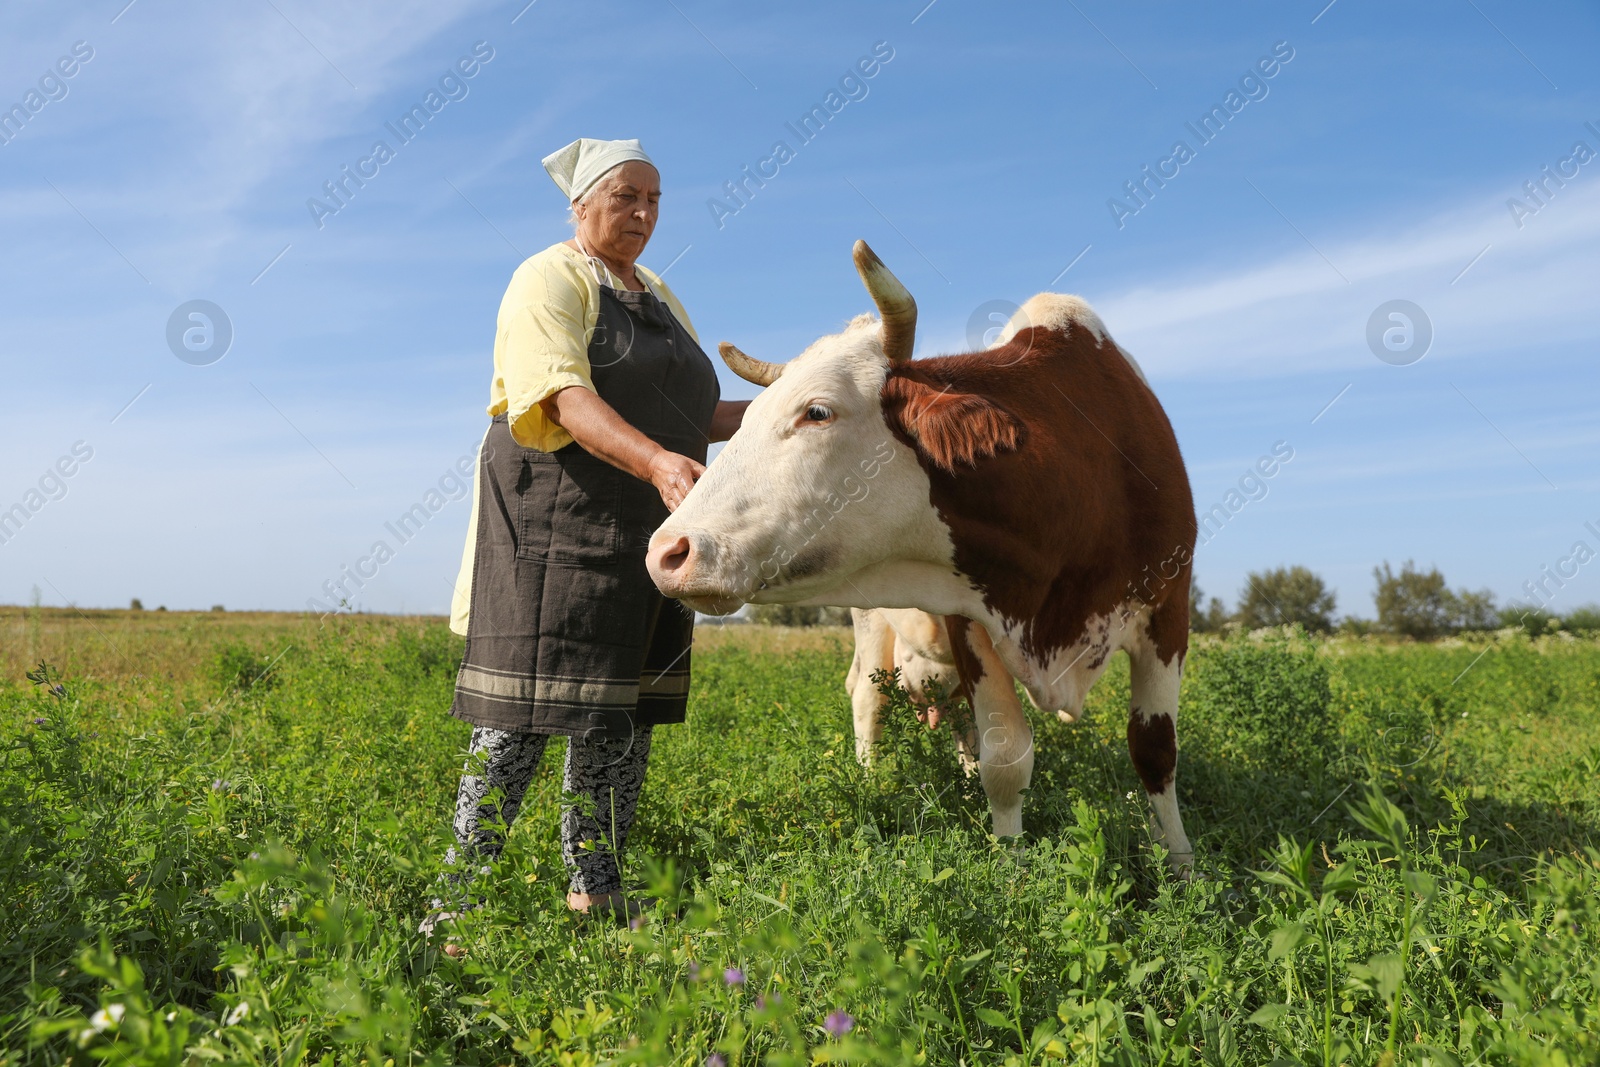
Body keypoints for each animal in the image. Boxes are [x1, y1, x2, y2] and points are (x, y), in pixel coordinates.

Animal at [649, 239, 1203, 870]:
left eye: (817, 411)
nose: (667, 551)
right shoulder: (970, 618)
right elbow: (1007, 758)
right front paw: (1011, 865)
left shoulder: (1170, 608)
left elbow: (1155, 750)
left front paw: (1181, 863)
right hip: (870, 626)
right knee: (869, 699)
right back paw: (870, 784)